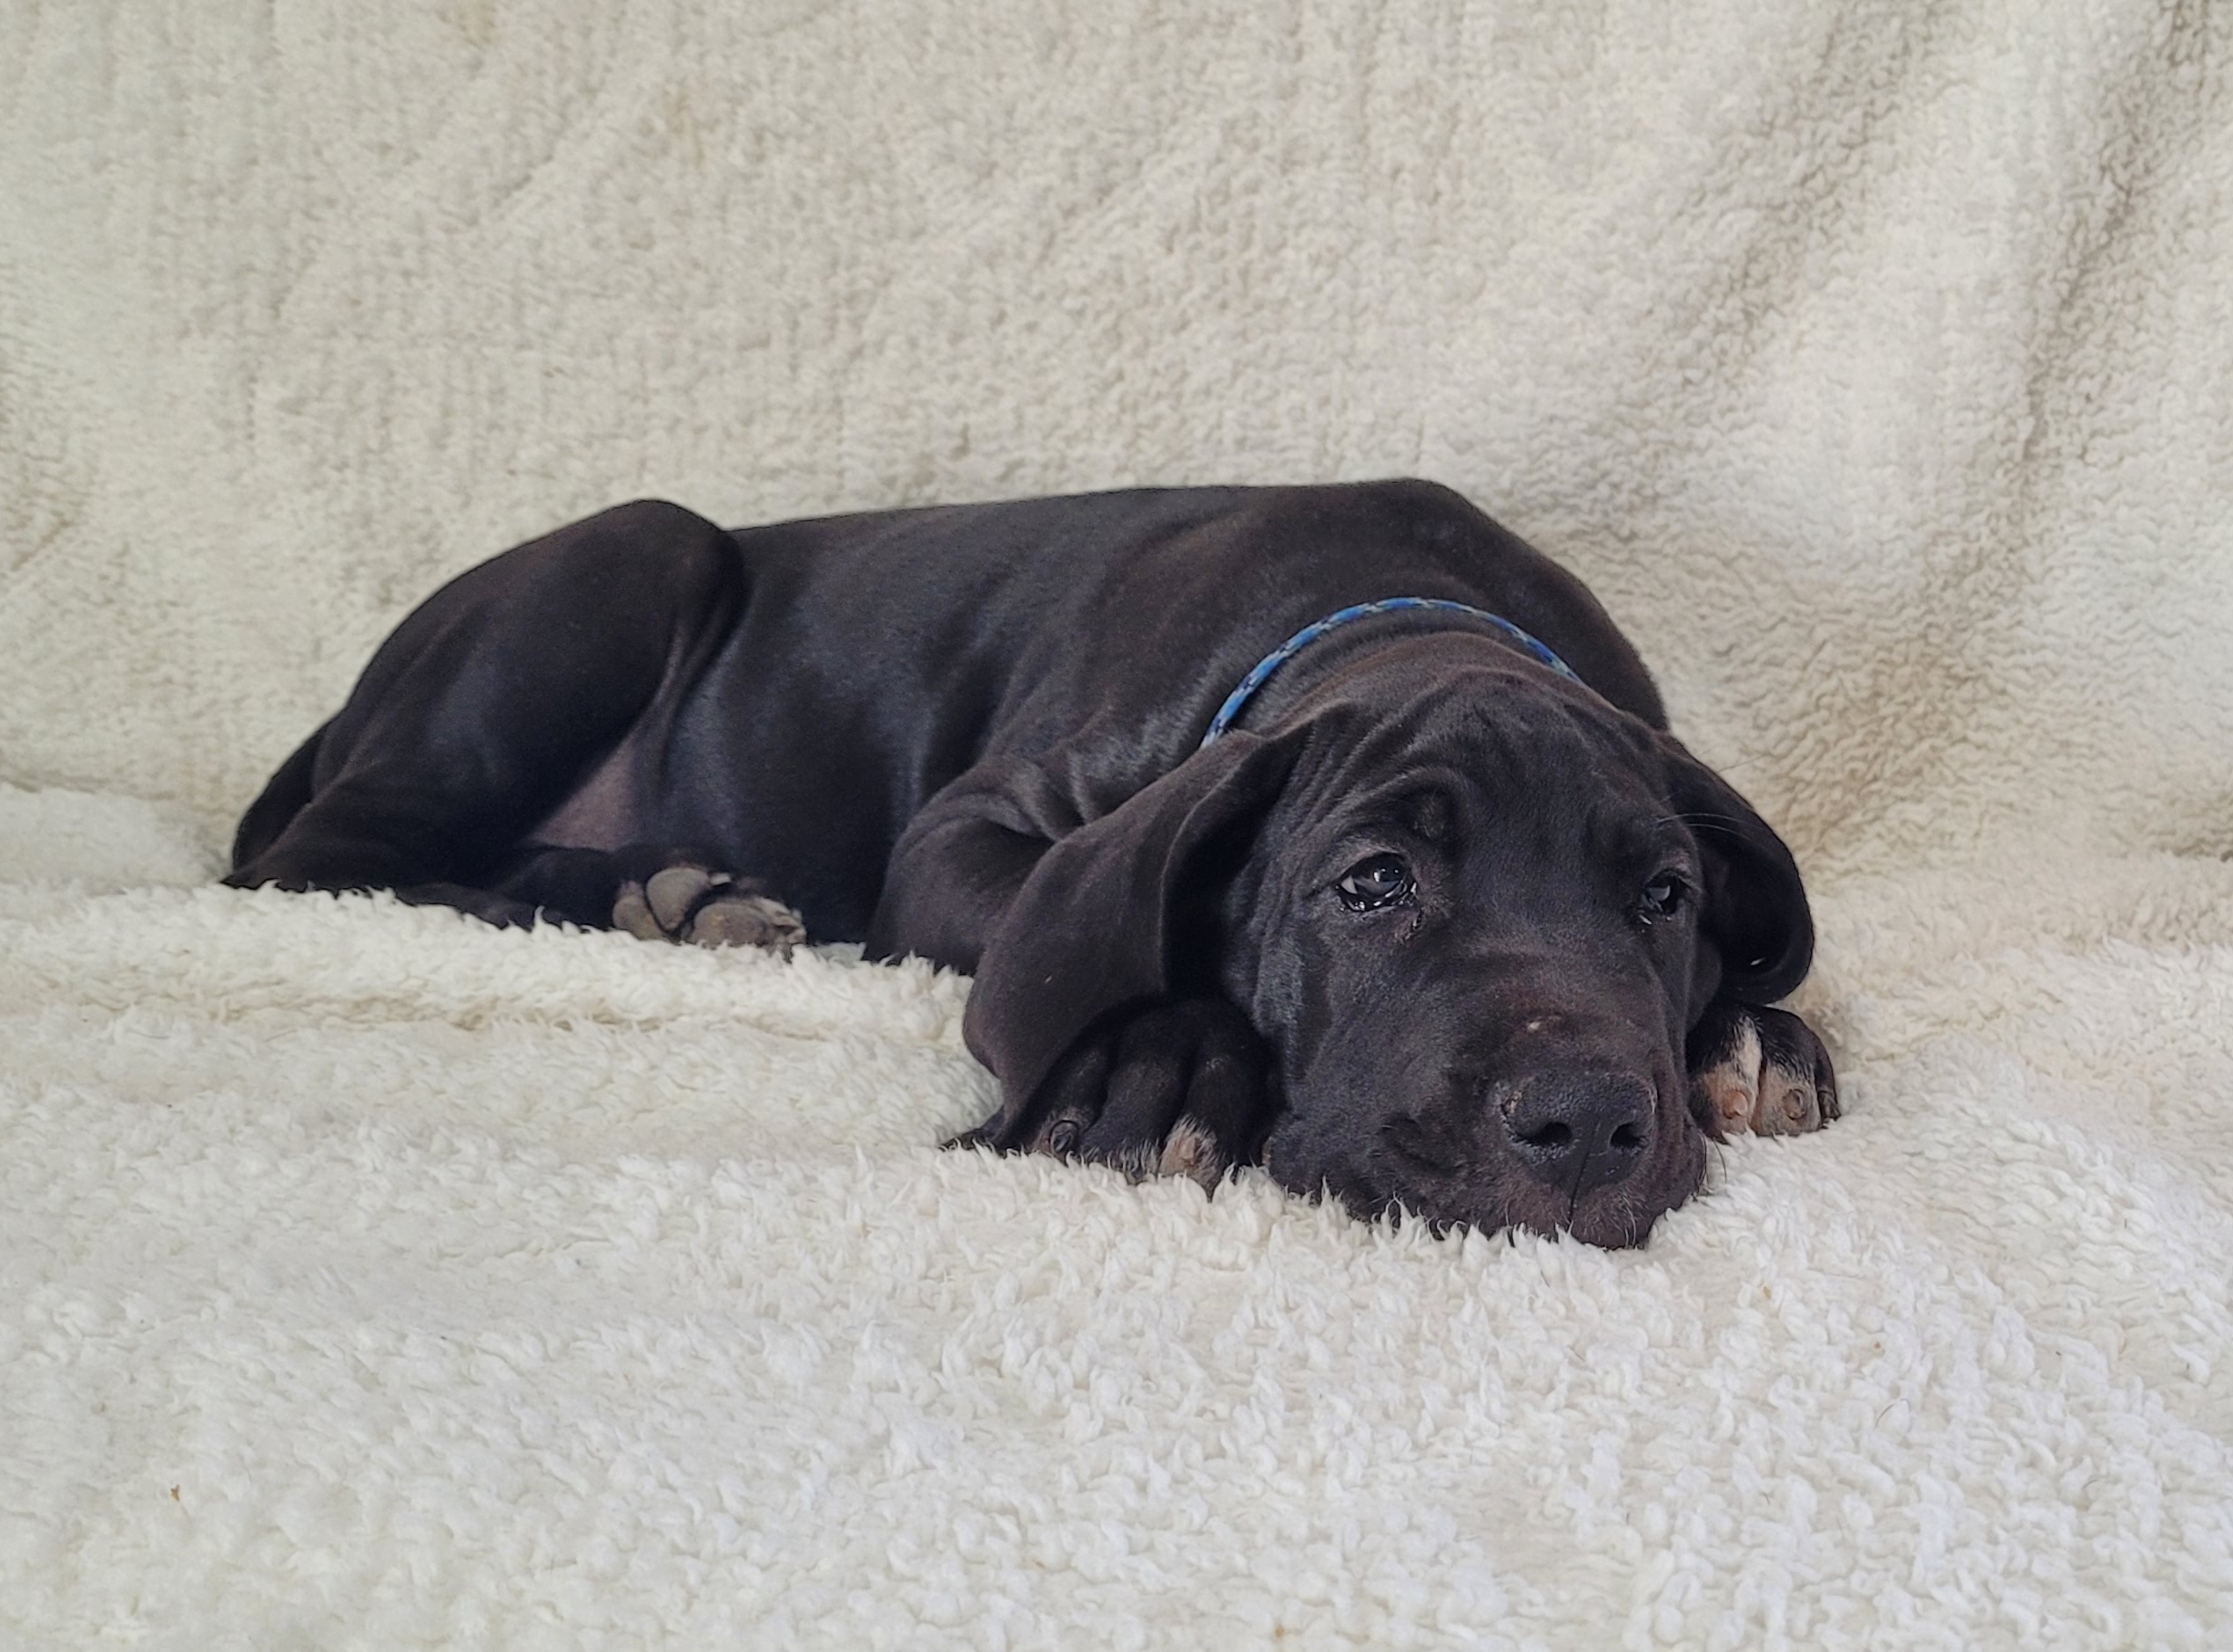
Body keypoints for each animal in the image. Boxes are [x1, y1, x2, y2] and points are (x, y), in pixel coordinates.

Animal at [228, 480, 1837, 1247]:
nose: (1584, 1124)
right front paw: (1164, 1069)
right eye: (1370, 885)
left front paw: (1749, 1033)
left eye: (1663, 900)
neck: (1404, 610)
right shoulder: (965, 837)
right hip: (631, 560)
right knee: (316, 869)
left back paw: (665, 893)